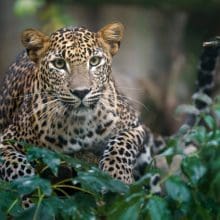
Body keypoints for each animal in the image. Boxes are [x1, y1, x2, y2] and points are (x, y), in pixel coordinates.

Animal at [0, 22, 163, 192]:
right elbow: (15, 166)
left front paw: (118, 176)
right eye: (59, 64)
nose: (81, 92)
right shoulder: (7, 139)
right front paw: (29, 187)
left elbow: (121, 145)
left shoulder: (134, 126)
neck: (80, 126)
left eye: (95, 61)